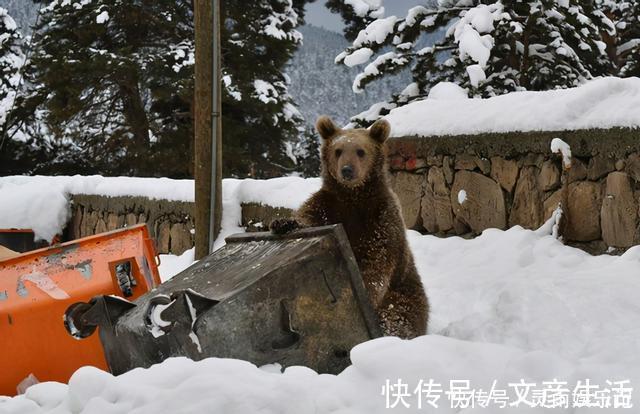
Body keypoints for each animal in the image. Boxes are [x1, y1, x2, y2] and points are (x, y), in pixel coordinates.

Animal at [272, 115, 430, 338]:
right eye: (338, 150)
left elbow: (376, 261)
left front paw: (362, 293)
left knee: (397, 317)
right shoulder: (329, 205)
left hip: (405, 293)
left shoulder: (380, 217)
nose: (347, 170)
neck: (353, 196)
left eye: (361, 151)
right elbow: (307, 215)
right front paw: (283, 223)